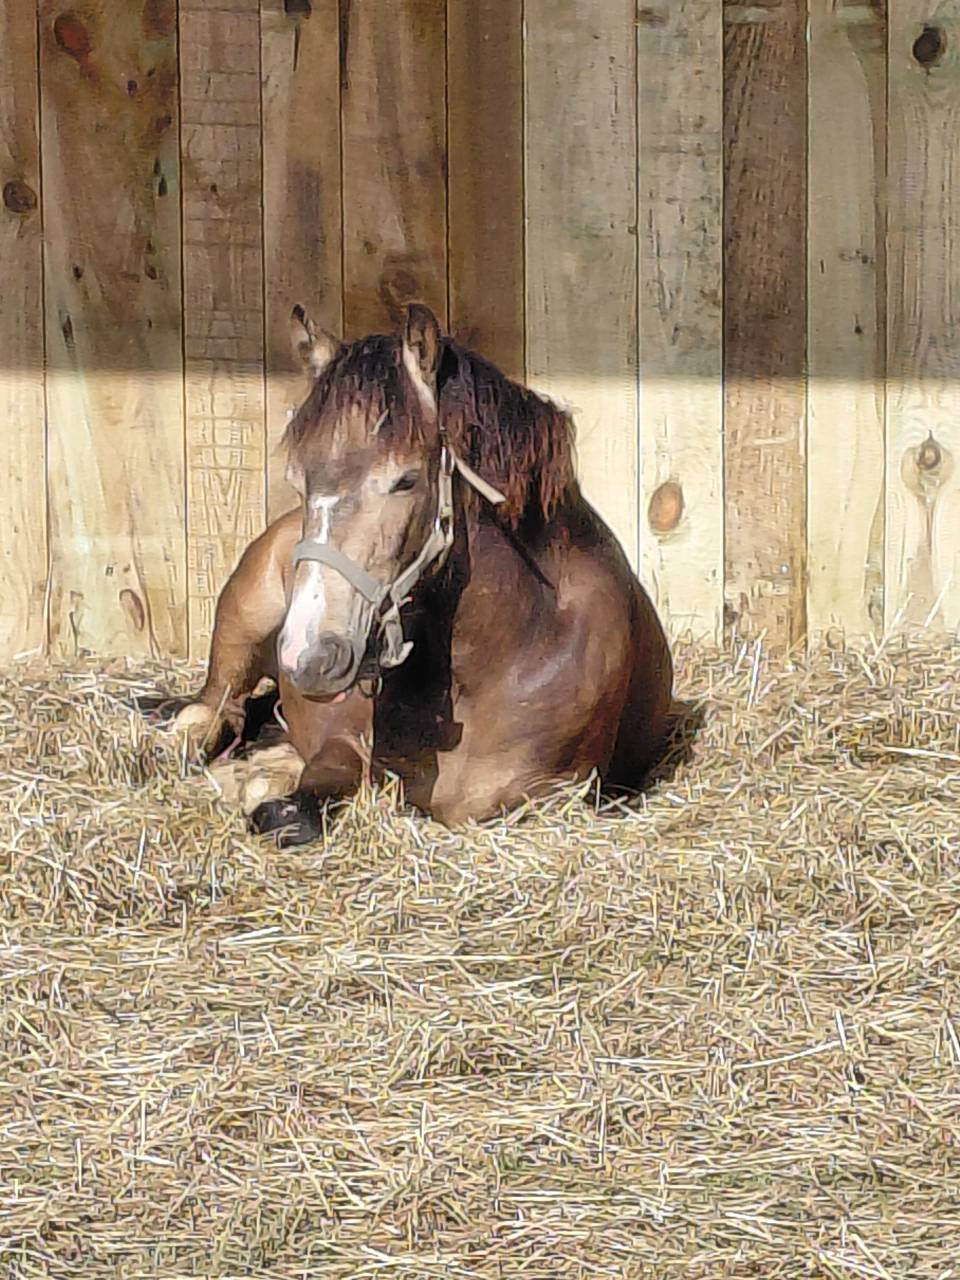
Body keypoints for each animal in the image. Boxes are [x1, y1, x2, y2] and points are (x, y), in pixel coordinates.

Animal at [140, 303, 673, 845]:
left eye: (406, 480)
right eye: (297, 477)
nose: (309, 657)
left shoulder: (558, 796)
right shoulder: (344, 740)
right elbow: (297, 808)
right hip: (243, 623)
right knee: (216, 709)